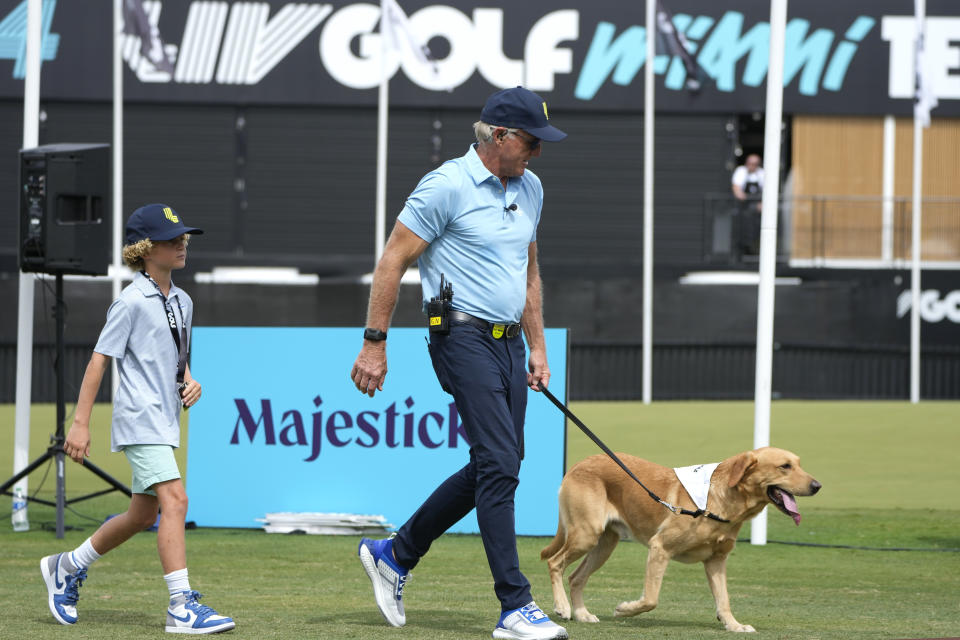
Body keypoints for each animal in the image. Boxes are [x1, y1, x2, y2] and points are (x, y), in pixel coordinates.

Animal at [544, 448, 820, 632]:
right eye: (785, 466)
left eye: (798, 464)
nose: (817, 485)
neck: (719, 503)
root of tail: (580, 463)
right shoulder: (659, 548)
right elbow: (651, 599)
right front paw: (624, 609)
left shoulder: (716, 561)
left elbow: (724, 600)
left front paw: (733, 625)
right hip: (586, 535)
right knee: (555, 562)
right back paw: (563, 607)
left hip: (604, 544)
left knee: (576, 577)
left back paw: (582, 613)